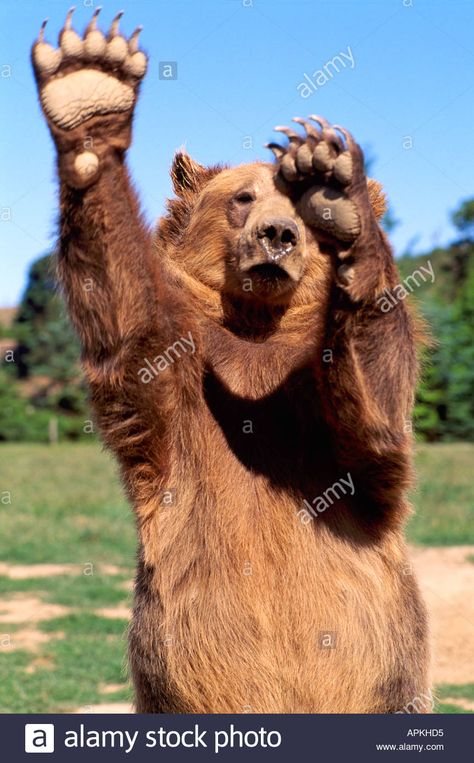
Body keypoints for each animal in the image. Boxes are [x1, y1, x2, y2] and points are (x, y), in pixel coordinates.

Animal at [31, 8, 428, 712]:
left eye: (297, 212)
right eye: (241, 197)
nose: (279, 233)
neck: (255, 326)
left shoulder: (319, 409)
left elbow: (374, 416)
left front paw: (334, 184)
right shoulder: (177, 383)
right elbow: (132, 324)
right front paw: (90, 87)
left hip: (391, 687)